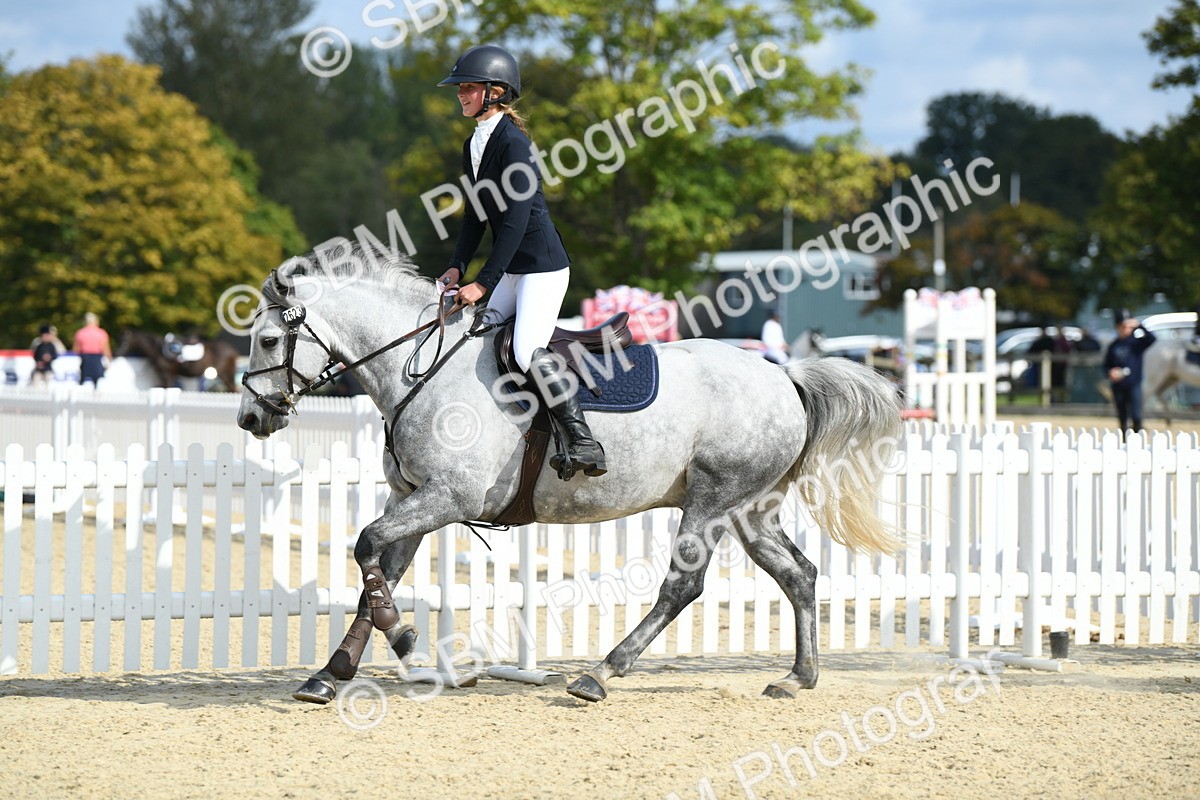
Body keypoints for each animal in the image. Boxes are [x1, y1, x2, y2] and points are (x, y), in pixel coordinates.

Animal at [236, 248, 903, 705]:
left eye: (267, 339)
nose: (250, 418)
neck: (418, 367)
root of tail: (784, 375)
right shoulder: (414, 498)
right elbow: (375, 573)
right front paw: (331, 674)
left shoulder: (448, 497)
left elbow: (367, 546)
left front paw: (405, 642)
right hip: (750, 509)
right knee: (799, 574)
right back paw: (797, 677)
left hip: (713, 501)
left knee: (683, 587)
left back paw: (601, 673)